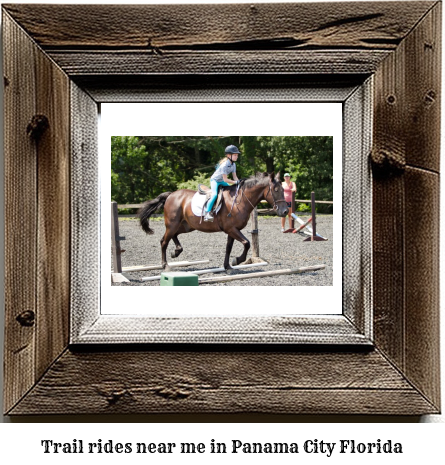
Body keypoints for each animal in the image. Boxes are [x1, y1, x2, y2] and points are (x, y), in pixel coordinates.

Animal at [140, 172, 290, 270]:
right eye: (276, 190)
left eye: (283, 189)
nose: (285, 212)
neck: (240, 200)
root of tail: (171, 194)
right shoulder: (231, 229)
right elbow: (247, 243)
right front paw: (237, 261)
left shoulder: (232, 230)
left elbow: (229, 248)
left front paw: (228, 266)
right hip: (172, 224)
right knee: (163, 241)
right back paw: (165, 265)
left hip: (186, 226)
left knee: (174, 236)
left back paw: (176, 252)